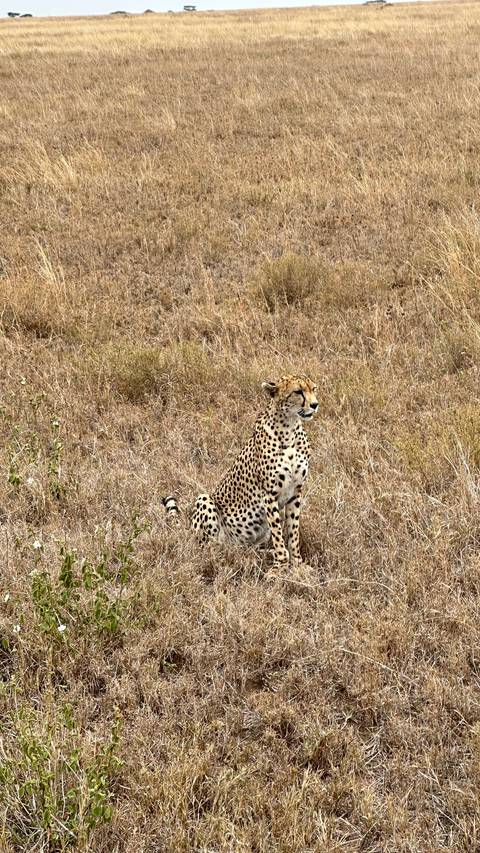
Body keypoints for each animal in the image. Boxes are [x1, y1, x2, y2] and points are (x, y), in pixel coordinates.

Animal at [163, 374, 318, 574]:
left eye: (313, 389)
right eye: (298, 392)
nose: (315, 404)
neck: (289, 428)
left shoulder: (295, 492)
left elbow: (293, 531)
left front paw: (297, 564)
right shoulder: (270, 495)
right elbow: (278, 533)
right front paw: (280, 568)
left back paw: (262, 554)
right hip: (205, 501)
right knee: (209, 548)